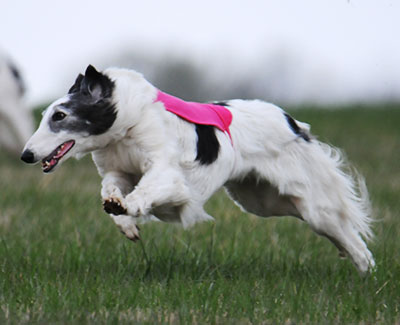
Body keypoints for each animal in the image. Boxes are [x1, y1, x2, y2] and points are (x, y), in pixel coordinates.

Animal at [21, 64, 376, 272]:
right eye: (46, 115)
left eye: (60, 116)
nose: (26, 154)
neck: (128, 122)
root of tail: (292, 121)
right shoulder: (118, 170)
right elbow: (109, 190)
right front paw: (124, 221)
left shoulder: (169, 174)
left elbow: (147, 189)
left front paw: (130, 207)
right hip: (262, 201)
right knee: (334, 230)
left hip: (305, 202)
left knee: (346, 231)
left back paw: (365, 268)